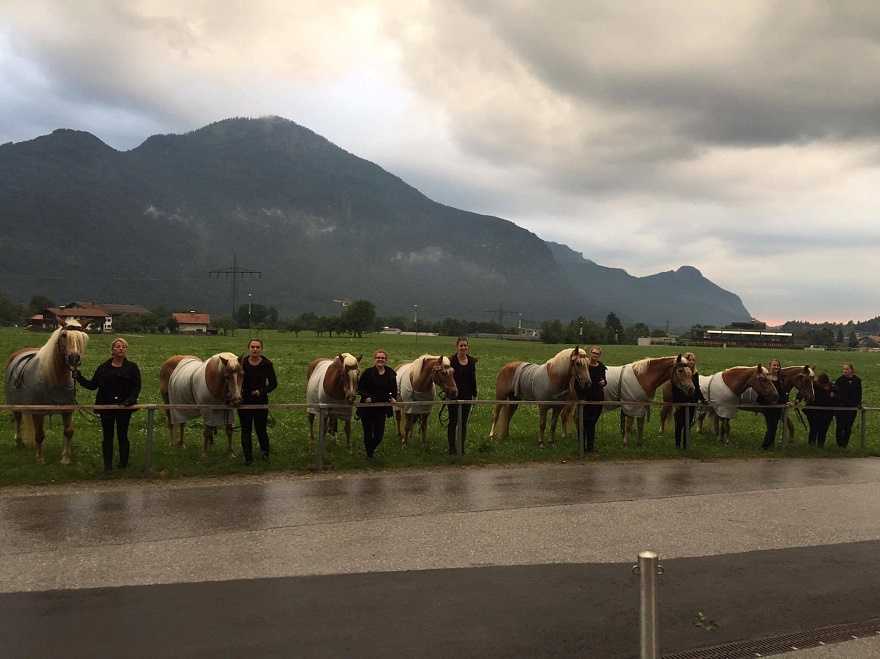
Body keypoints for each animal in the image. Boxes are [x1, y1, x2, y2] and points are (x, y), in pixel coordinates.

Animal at [3, 318, 90, 464]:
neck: (54, 378)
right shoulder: (38, 410)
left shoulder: (67, 409)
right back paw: (19, 442)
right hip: (16, 403)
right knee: (18, 419)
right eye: (64, 335)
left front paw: (65, 458)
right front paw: (40, 458)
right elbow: (39, 435)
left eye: (83, 337)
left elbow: (69, 431)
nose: (74, 358)